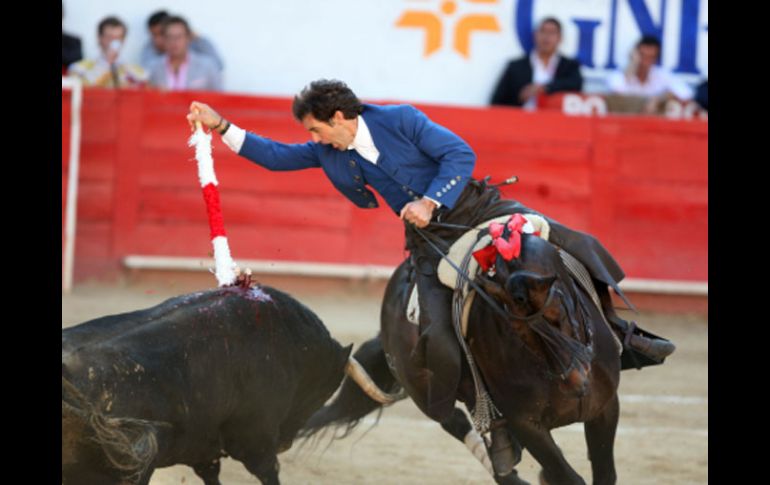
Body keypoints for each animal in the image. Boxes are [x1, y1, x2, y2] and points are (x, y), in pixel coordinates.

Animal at [62, 284, 376, 484]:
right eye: (322, 391)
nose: (285, 443)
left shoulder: (202, 444)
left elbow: (211, 474)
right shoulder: (256, 439)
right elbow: (268, 471)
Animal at [300, 182, 624, 484]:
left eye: (559, 311)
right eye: (515, 331)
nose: (576, 384)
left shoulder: (606, 407)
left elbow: (604, 474)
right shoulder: (528, 424)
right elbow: (570, 477)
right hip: (423, 385)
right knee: (453, 419)